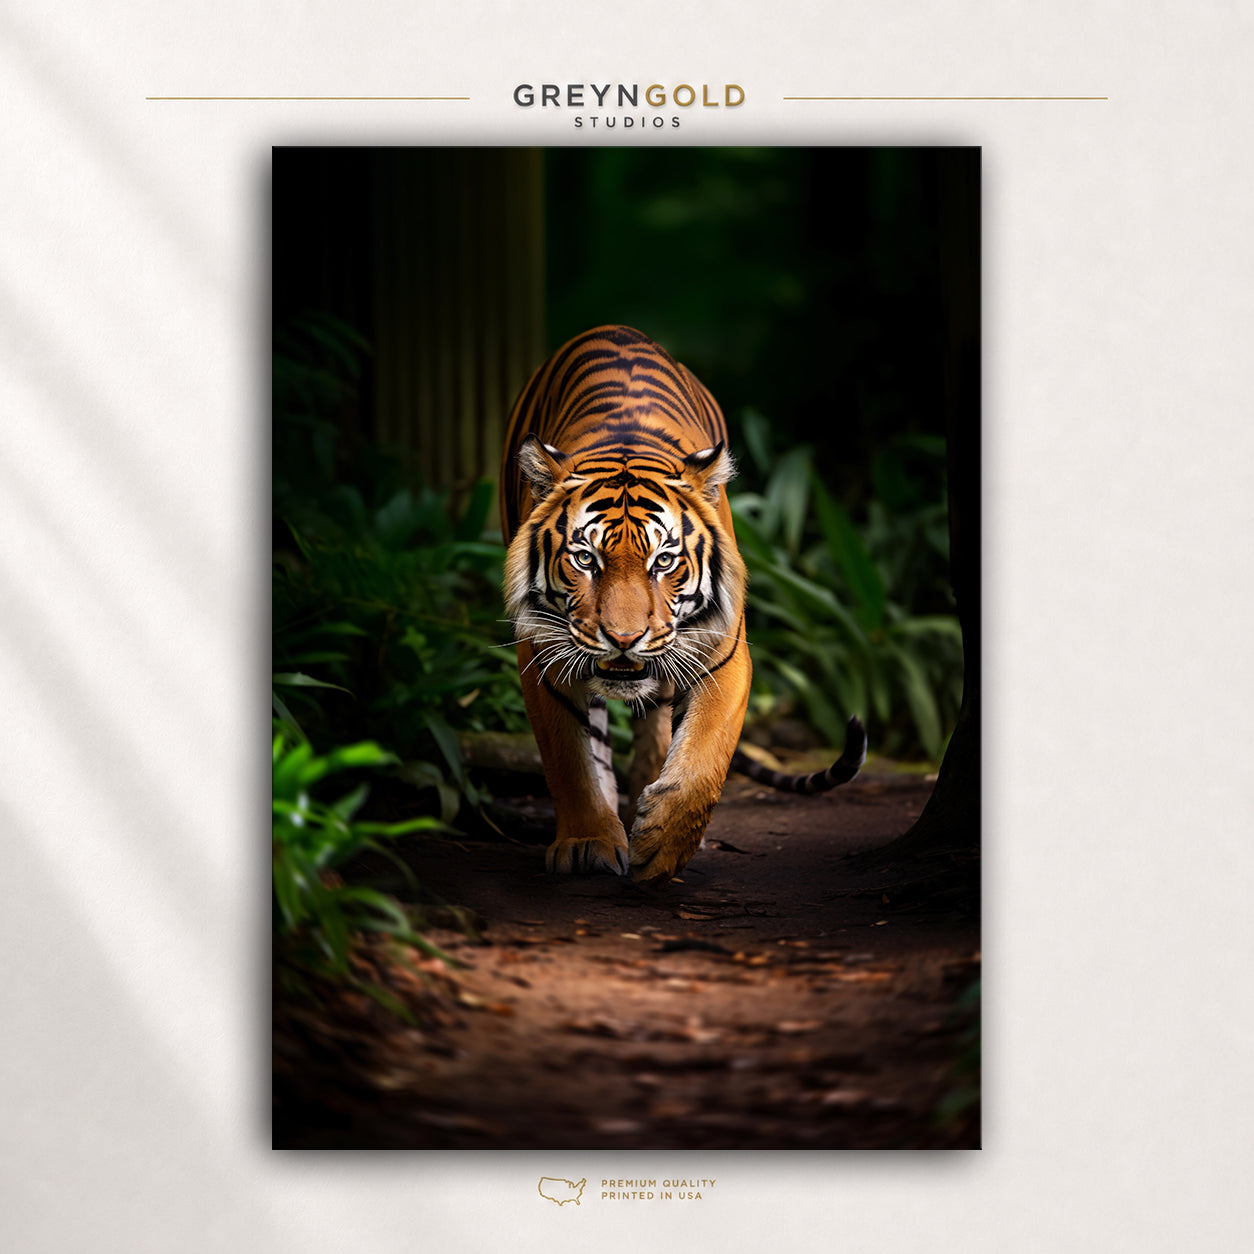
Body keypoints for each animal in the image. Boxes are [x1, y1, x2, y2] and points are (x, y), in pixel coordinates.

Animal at [501, 325, 866, 885]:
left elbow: (703, 760)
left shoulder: (724, 654)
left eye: (664, 560)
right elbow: (569, 761)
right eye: (585, 558)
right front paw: (587, 841)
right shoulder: (541, 652)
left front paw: (663, 844)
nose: (623, 639)